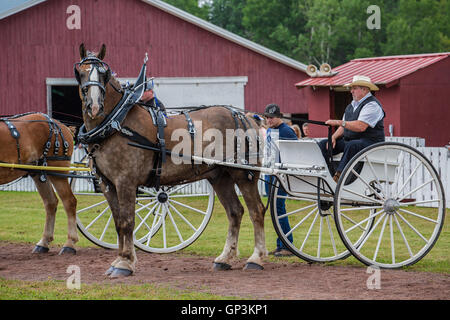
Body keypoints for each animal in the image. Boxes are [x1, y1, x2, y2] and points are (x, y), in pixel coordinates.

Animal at [0, 112, 78, 255]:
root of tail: (60, 125)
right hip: (38, 173)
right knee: (50, 202)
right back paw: (44, 242)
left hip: (57, 172)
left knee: (69, 202)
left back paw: (70, 243)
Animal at [72, 43, 266, 276]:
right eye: (80, 73)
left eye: (104, 74)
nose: (93, 107)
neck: (116, 122)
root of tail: (248, 117)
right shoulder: (107, 183)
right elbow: (118, 222)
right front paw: (119, 259)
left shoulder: (126, 182)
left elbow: (128, 221)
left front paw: (125, 263)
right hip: (220, 176)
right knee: (235, 212)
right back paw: (224, 258)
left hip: (244, 174)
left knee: (257, 211)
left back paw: (256, 258)